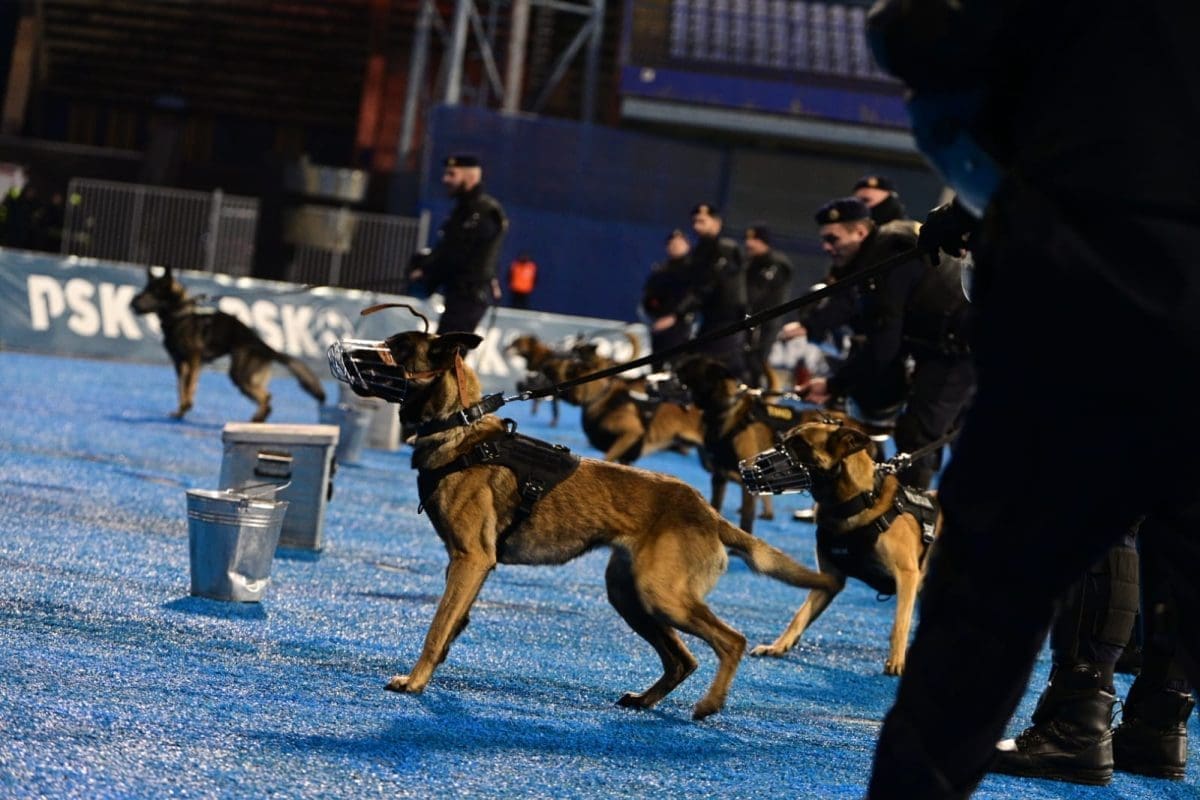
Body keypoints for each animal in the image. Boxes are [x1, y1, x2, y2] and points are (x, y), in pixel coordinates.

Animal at [131, 266, 326, 422]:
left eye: (154, 292)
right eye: (146, 289)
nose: (132, 303)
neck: (181, 316)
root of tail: (264, 345)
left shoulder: (192, 360)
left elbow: (187, 387)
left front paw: (185, 408)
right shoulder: (181, 364)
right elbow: (182, 388)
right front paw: (181, 411)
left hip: (240, 374)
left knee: (266, 397)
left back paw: (257, 419)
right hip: (246, 376)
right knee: (267, 397)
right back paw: (259, 419)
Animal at [324, 326, 840, 719]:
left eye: (393, 349)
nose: (338, 351)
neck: (461, 430)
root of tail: (708, 513)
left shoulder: (470, 560)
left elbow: (436, 629)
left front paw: (414, 681)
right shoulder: (471, 567)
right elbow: (453, 624)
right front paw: (432, 672)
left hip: (662, 595)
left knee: (731, 640)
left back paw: (709, 705)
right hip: (632, 596)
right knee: (684, 659)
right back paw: (645, 700)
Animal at [744, 422, 940, 671]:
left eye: (800, 443)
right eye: (784, 439)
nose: (756, 466)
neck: (859, 502)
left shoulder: (908, 576)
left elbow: (899, 623)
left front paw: (896, 661)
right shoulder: (830, 580)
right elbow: (799, 616)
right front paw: (778, 646)